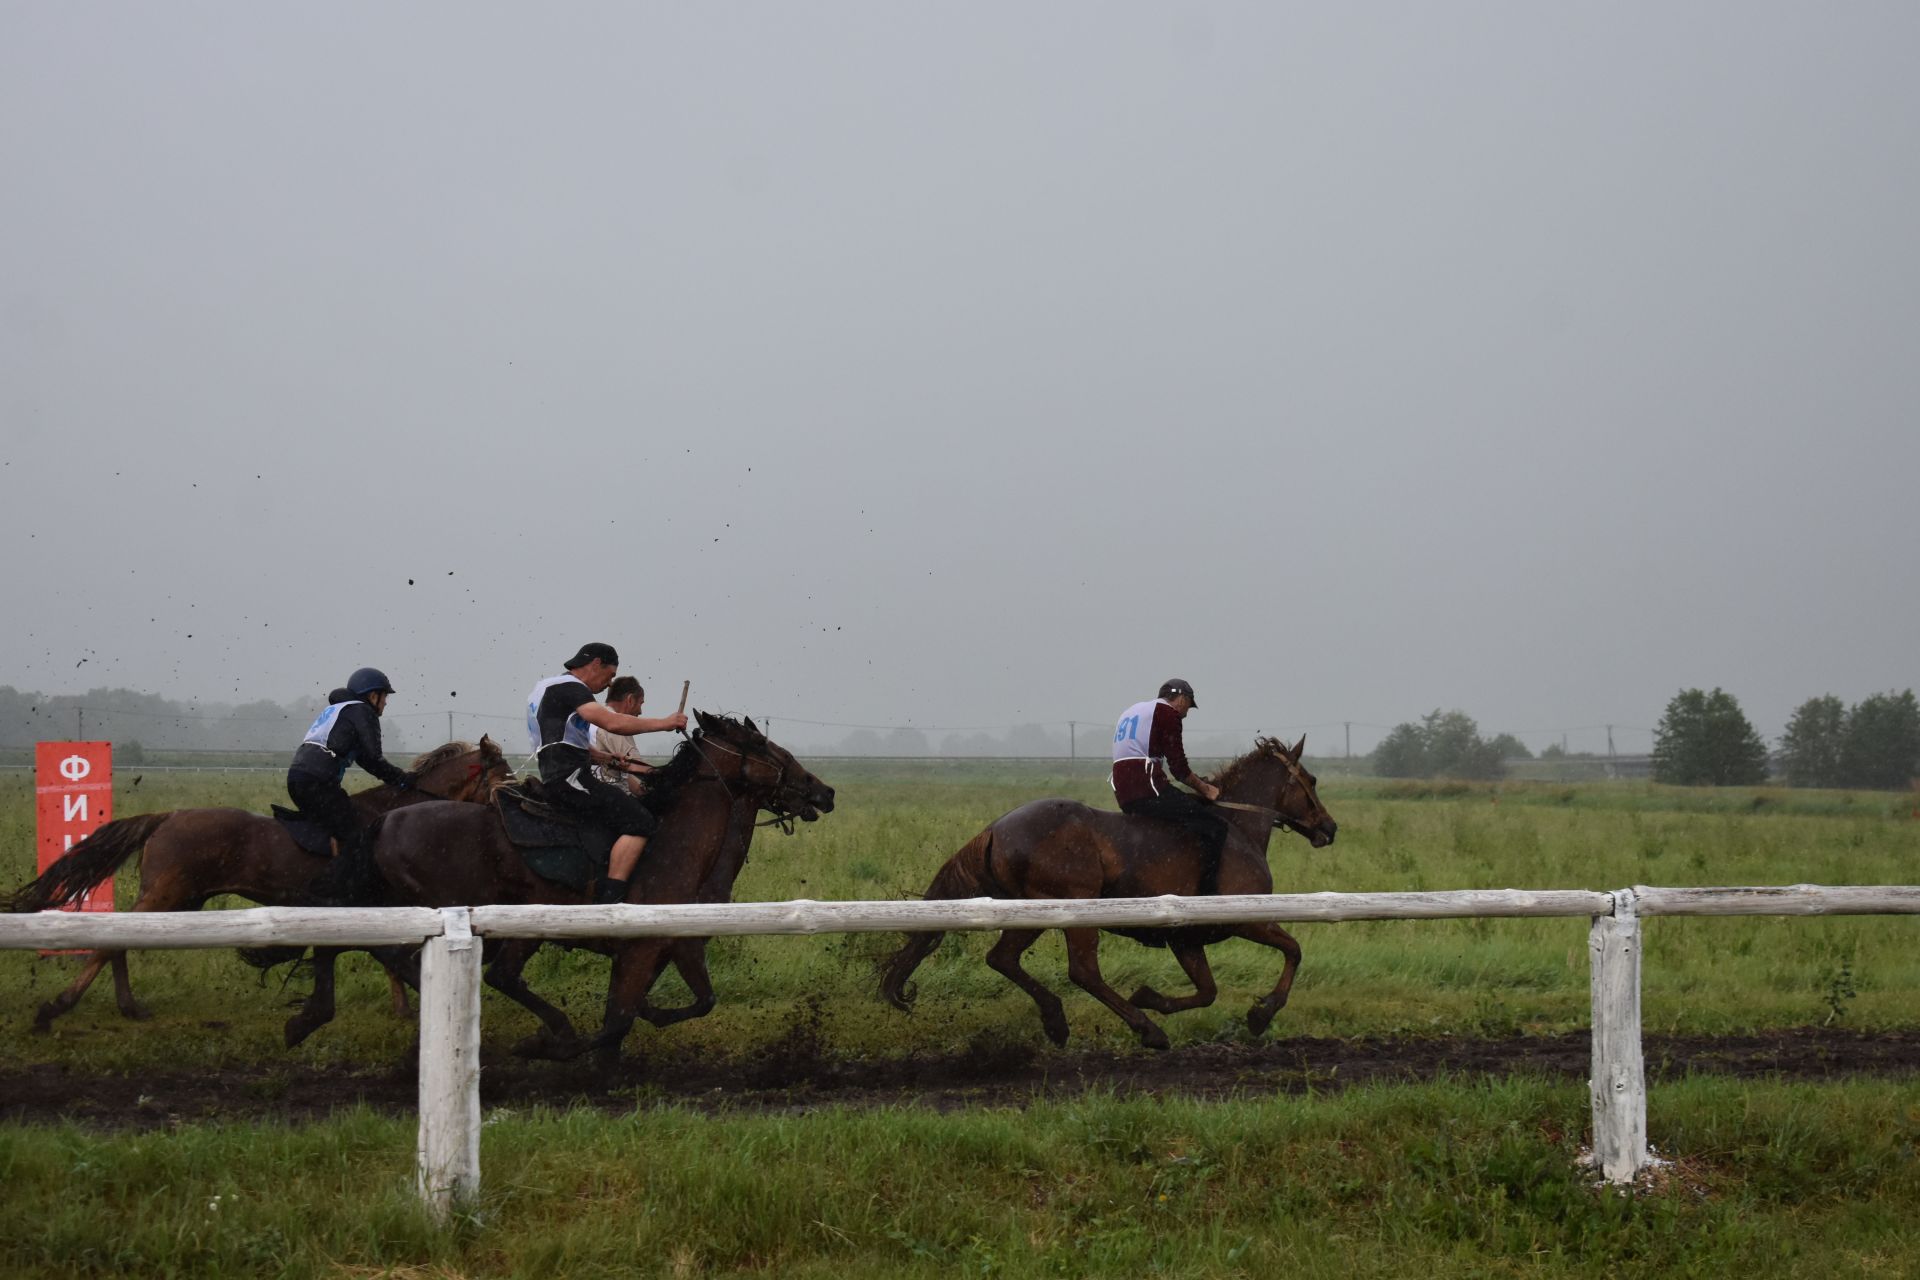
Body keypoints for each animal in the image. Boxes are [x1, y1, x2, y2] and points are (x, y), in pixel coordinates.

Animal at [3, 740, 514, 1028]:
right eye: (505, 774)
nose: (514, 803)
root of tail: (168, 815)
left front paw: (406, 1006)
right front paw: (410, 1007)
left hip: (182, 899)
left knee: (121, 939)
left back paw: (128, 1006)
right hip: (169, 892)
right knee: (112, 940)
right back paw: (60, 1006)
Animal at [278, 710, 833, 1059]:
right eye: (760, 744)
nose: (822, 791)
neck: (675, 840)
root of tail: (385, 821)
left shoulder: (676, 944)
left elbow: (691, 1001)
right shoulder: (642, 946)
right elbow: (616, 1022)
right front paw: (556, 1048)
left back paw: (309, 1019)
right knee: (439, 964)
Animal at [879, 740, 1336, 1051]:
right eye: (1311, 780)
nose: (1329, 828)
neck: (1237, 828)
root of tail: (996, 828)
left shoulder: (1186, 939)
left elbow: (1207, 991)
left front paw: (1152, 997)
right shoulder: (1247, 918)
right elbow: (1293, 950)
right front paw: (1261, 1014)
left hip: (1032, 912)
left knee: (1004, 959)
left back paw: (1060, 1019)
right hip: (1066, 909)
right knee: (1081, 971)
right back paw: (1142, 1029)